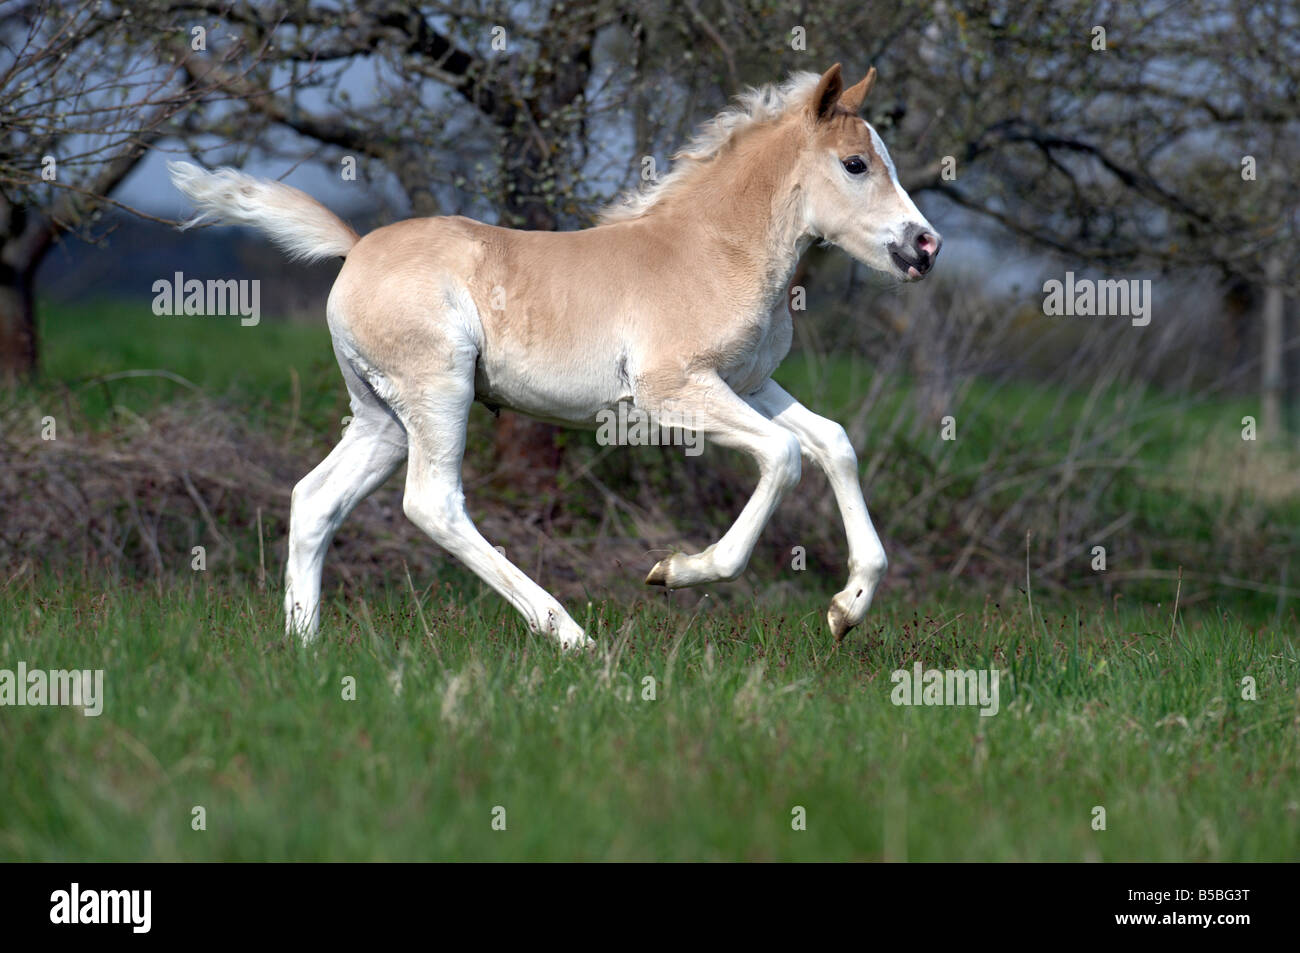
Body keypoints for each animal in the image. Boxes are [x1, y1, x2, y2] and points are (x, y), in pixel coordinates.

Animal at [172, 65, 946, 647]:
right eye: (855, 164)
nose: (926, 246)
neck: (716, 249)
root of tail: (356, 247)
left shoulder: (748, 383)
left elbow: (833, 442)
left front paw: (847, 607)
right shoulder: (672, 391)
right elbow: (784, 456)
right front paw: (677, 571)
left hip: (382, 417)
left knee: (314, 499)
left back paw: (304, 645)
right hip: (438, 392)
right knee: (432, 504)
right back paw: (567, 632)